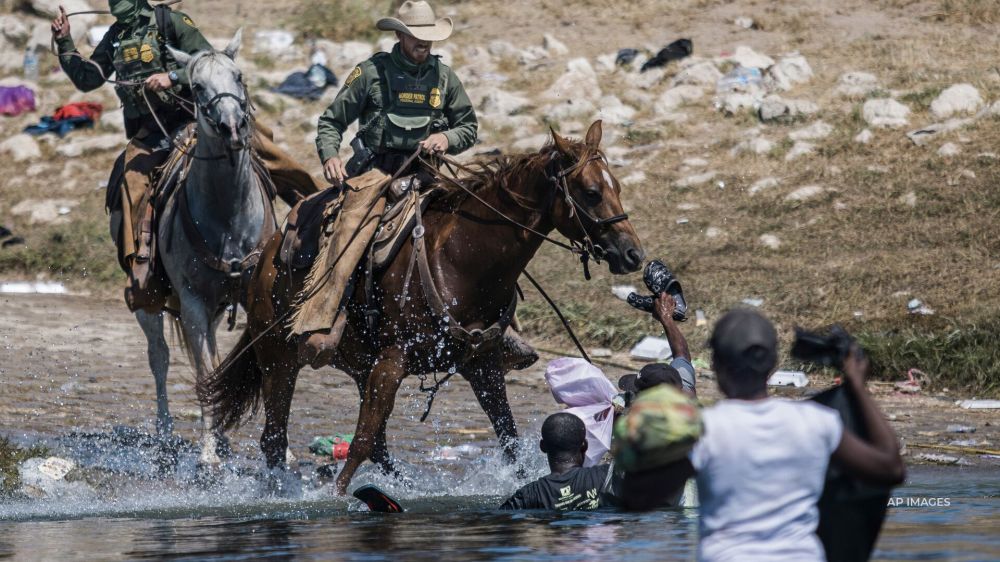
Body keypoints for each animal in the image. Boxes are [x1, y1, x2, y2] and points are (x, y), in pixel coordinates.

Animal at [129, 28, 272, 466]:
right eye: (196, 87)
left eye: (238, 76)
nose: (232, 128)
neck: (228, 217)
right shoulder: (191, 302)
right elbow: (205, 372)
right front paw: (208, 454)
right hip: (151, 301)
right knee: (159, 357)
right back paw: (167, 435)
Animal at [199, 120, 644, 492]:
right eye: (591, 193)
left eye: (619, 188)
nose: (633, 254)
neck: (462, 260)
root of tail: (266, 256)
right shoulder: (393, 361)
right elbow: (360, 441)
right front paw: (336, 497)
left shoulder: (481, 365)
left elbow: (509, 439)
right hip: (278, 358)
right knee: (275, 438)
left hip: (358, 364)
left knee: (375, 444)